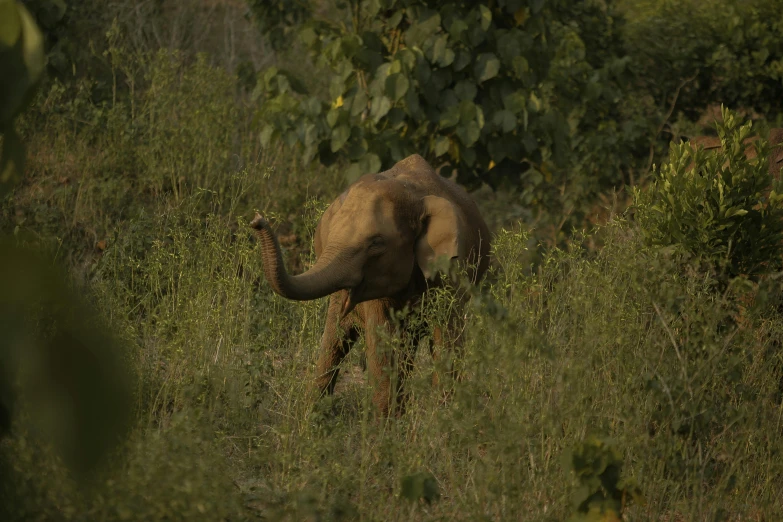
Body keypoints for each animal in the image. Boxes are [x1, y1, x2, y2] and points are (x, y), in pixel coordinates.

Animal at [251, 153, 490, 414]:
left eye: (376, 243)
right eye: (331, 234)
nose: (256, 220)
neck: (413, 196)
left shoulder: (451, 271)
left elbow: (447, 336)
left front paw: (443, 415)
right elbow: (382, 340)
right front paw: (386, 422)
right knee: (335, 339)